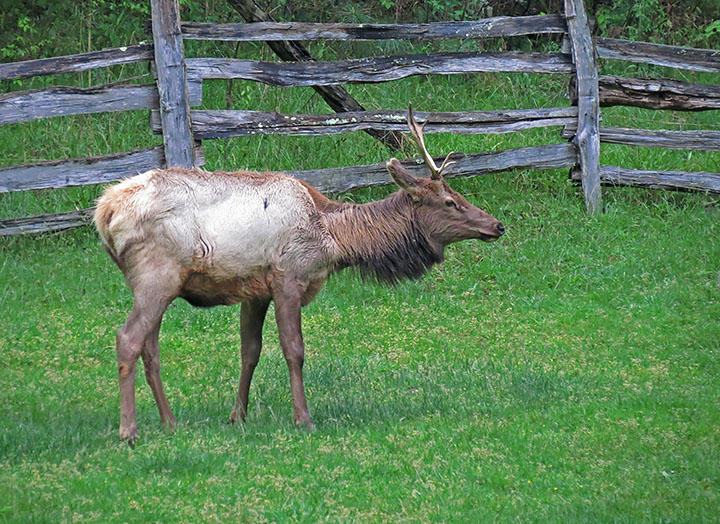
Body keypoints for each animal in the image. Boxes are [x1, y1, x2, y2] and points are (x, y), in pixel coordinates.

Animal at [93, 104, 504, 440]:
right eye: (449, 201)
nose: (496, 225)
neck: (332, 237)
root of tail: (104, 211)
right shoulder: (288, 276)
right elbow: (294, 350)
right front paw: (303, 419)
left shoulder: (255, 289)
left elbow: (250, 351)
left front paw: (237, 416)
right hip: (157, 274)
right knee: (128, 339)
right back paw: (129, 431)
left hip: (156, 283)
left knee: (150, 348)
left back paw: (170, 422)